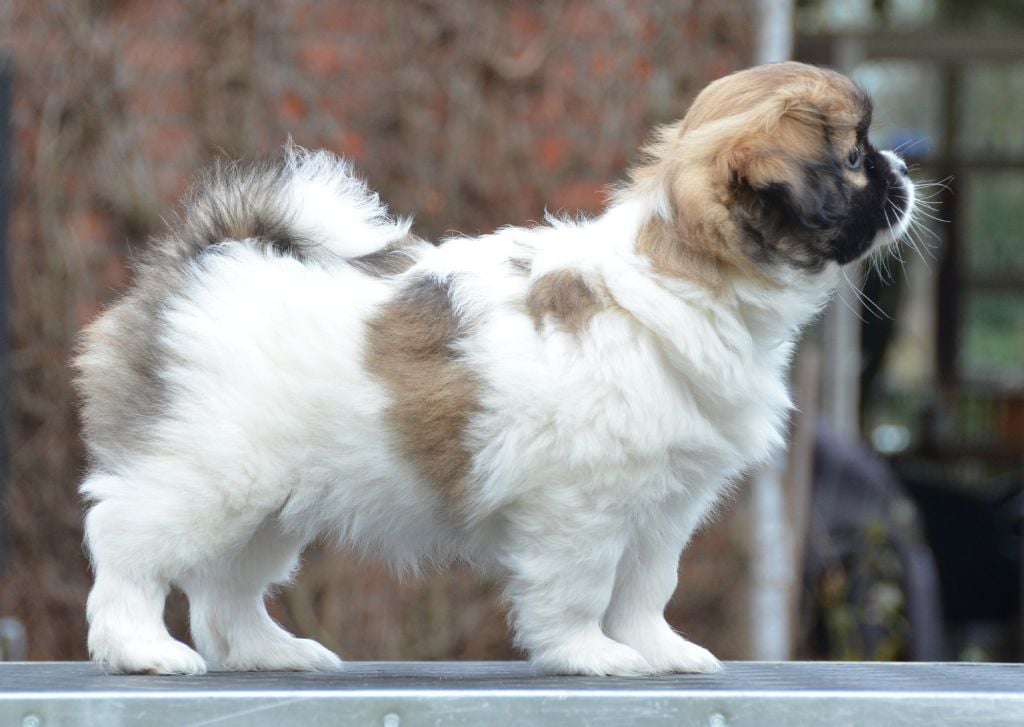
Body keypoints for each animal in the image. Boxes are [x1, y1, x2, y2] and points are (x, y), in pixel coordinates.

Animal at [75, 62, 916, 675]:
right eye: (852, 158)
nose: (905, 171)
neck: (683, 280)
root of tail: (205, 257)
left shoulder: (663, 507)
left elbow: (646, 589)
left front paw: (658, 649)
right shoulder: (582, 507)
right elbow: (582, 587)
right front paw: (591, 655)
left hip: (269, 503)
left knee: (228, 589)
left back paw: (268, 651)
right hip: (209, 473)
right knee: (126, 545)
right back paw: (140, 648)